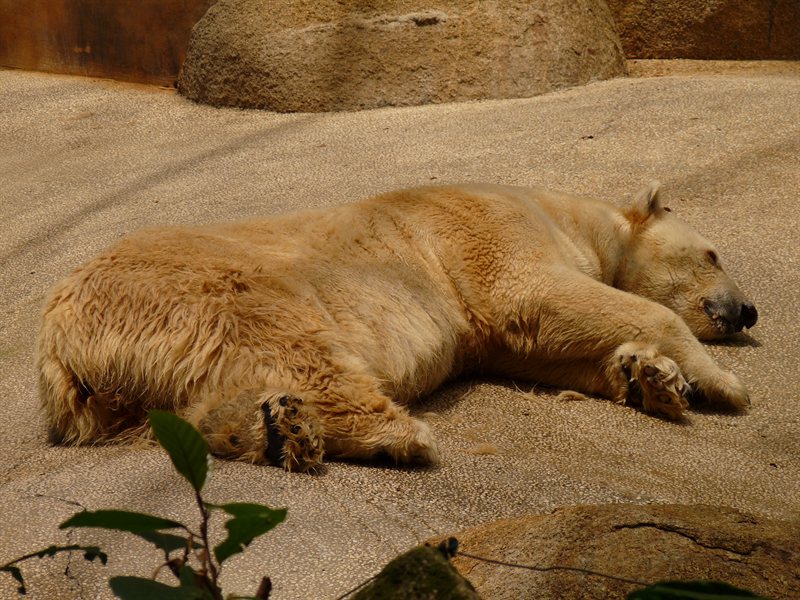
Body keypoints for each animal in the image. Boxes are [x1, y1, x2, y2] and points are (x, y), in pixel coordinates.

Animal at [37, 182, 758, 472]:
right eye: (714, 253)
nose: (748, 310)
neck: (564, 214)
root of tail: (60, 337)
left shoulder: (494, 328)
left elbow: (544, 346)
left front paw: (649, 377)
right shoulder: (492, 231)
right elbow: (539, 298)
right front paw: (722, 384)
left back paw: (278, 430)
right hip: (211, 286)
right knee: (296, 342)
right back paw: (397, 435)